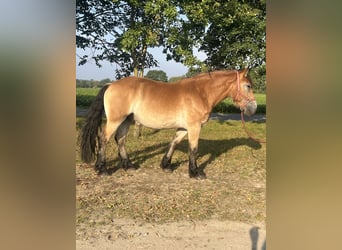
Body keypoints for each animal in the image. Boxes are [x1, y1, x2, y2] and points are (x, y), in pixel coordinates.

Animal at [80, 68, 256, 178]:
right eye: (248, 86)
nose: (253, 108)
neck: (201, 93)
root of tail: (110, 85)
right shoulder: (194, 127)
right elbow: (193, 149)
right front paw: (195, 172)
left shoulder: (184, 128)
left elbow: (174, 143)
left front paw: (166, 165)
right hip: (115, 120)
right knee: (104, 139)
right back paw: (102, 169)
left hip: (126, 120)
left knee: (120, 139)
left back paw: (128, 165)